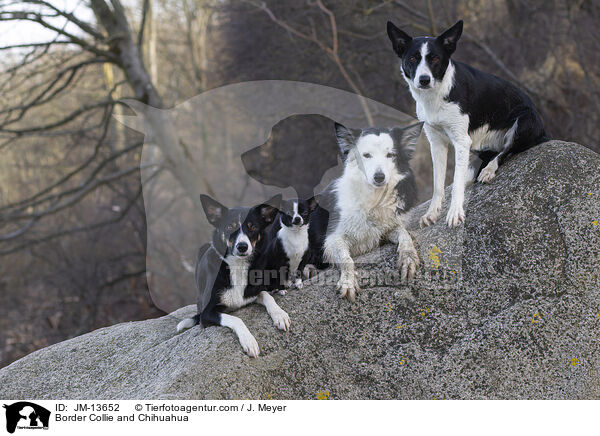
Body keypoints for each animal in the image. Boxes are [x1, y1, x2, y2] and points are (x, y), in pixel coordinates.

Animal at [173, 194, 290, 358]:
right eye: (230, 227)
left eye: (252, 227)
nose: (242, 246)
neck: (237, 265)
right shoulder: (207, 313)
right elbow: (236, 318)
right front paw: (249, 341)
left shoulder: (252, 291)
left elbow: (266, 295)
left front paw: (280, 315)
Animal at [304, 121, 422, 302]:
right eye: (366, 155)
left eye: (390, 155)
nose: (379, 177)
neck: (374, 199)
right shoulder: (332, 239)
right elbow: (346, 259)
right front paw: (348, 281)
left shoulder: (387, 230)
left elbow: (404, 234)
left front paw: (408, 257)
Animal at [384, 19, 548, 228]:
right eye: (412, 58)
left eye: (435, 59)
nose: (424, 79)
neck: (437, 94)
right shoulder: (436, 143)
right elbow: (438, 184)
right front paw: (432, 213)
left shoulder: (462, 141)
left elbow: (456, 181)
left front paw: (455, 212)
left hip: (525, 120)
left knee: (505, 151)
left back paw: (488, 170)